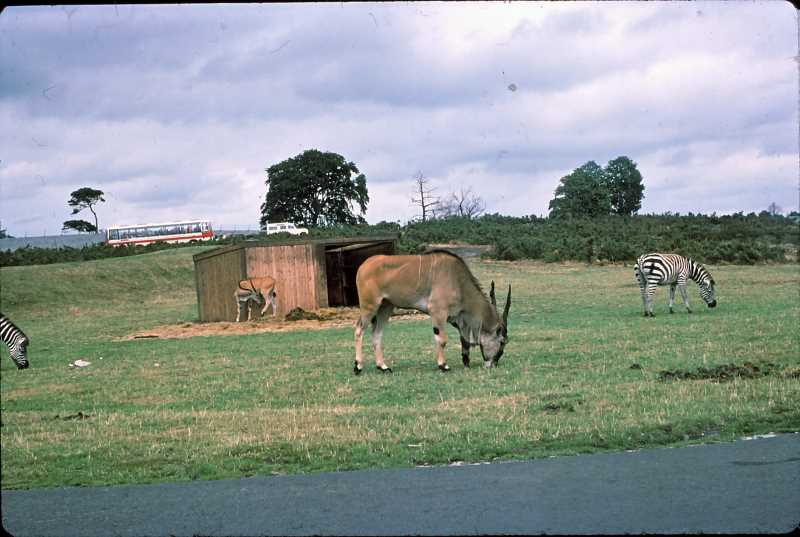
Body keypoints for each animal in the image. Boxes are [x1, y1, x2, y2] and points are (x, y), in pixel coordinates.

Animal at [354, 250, 511, 374]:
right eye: (502, 341)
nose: (494, 363)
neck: (458, 280)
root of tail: (363, 266)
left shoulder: (457, 319)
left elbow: (464, 340)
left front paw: (466, 362)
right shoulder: (438, 312)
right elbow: (442, 339)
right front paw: (443, 365)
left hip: (385, 307)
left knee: (377, 334)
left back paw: (383, 367)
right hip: (370, 306)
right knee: (359, 330)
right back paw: (358, 366)